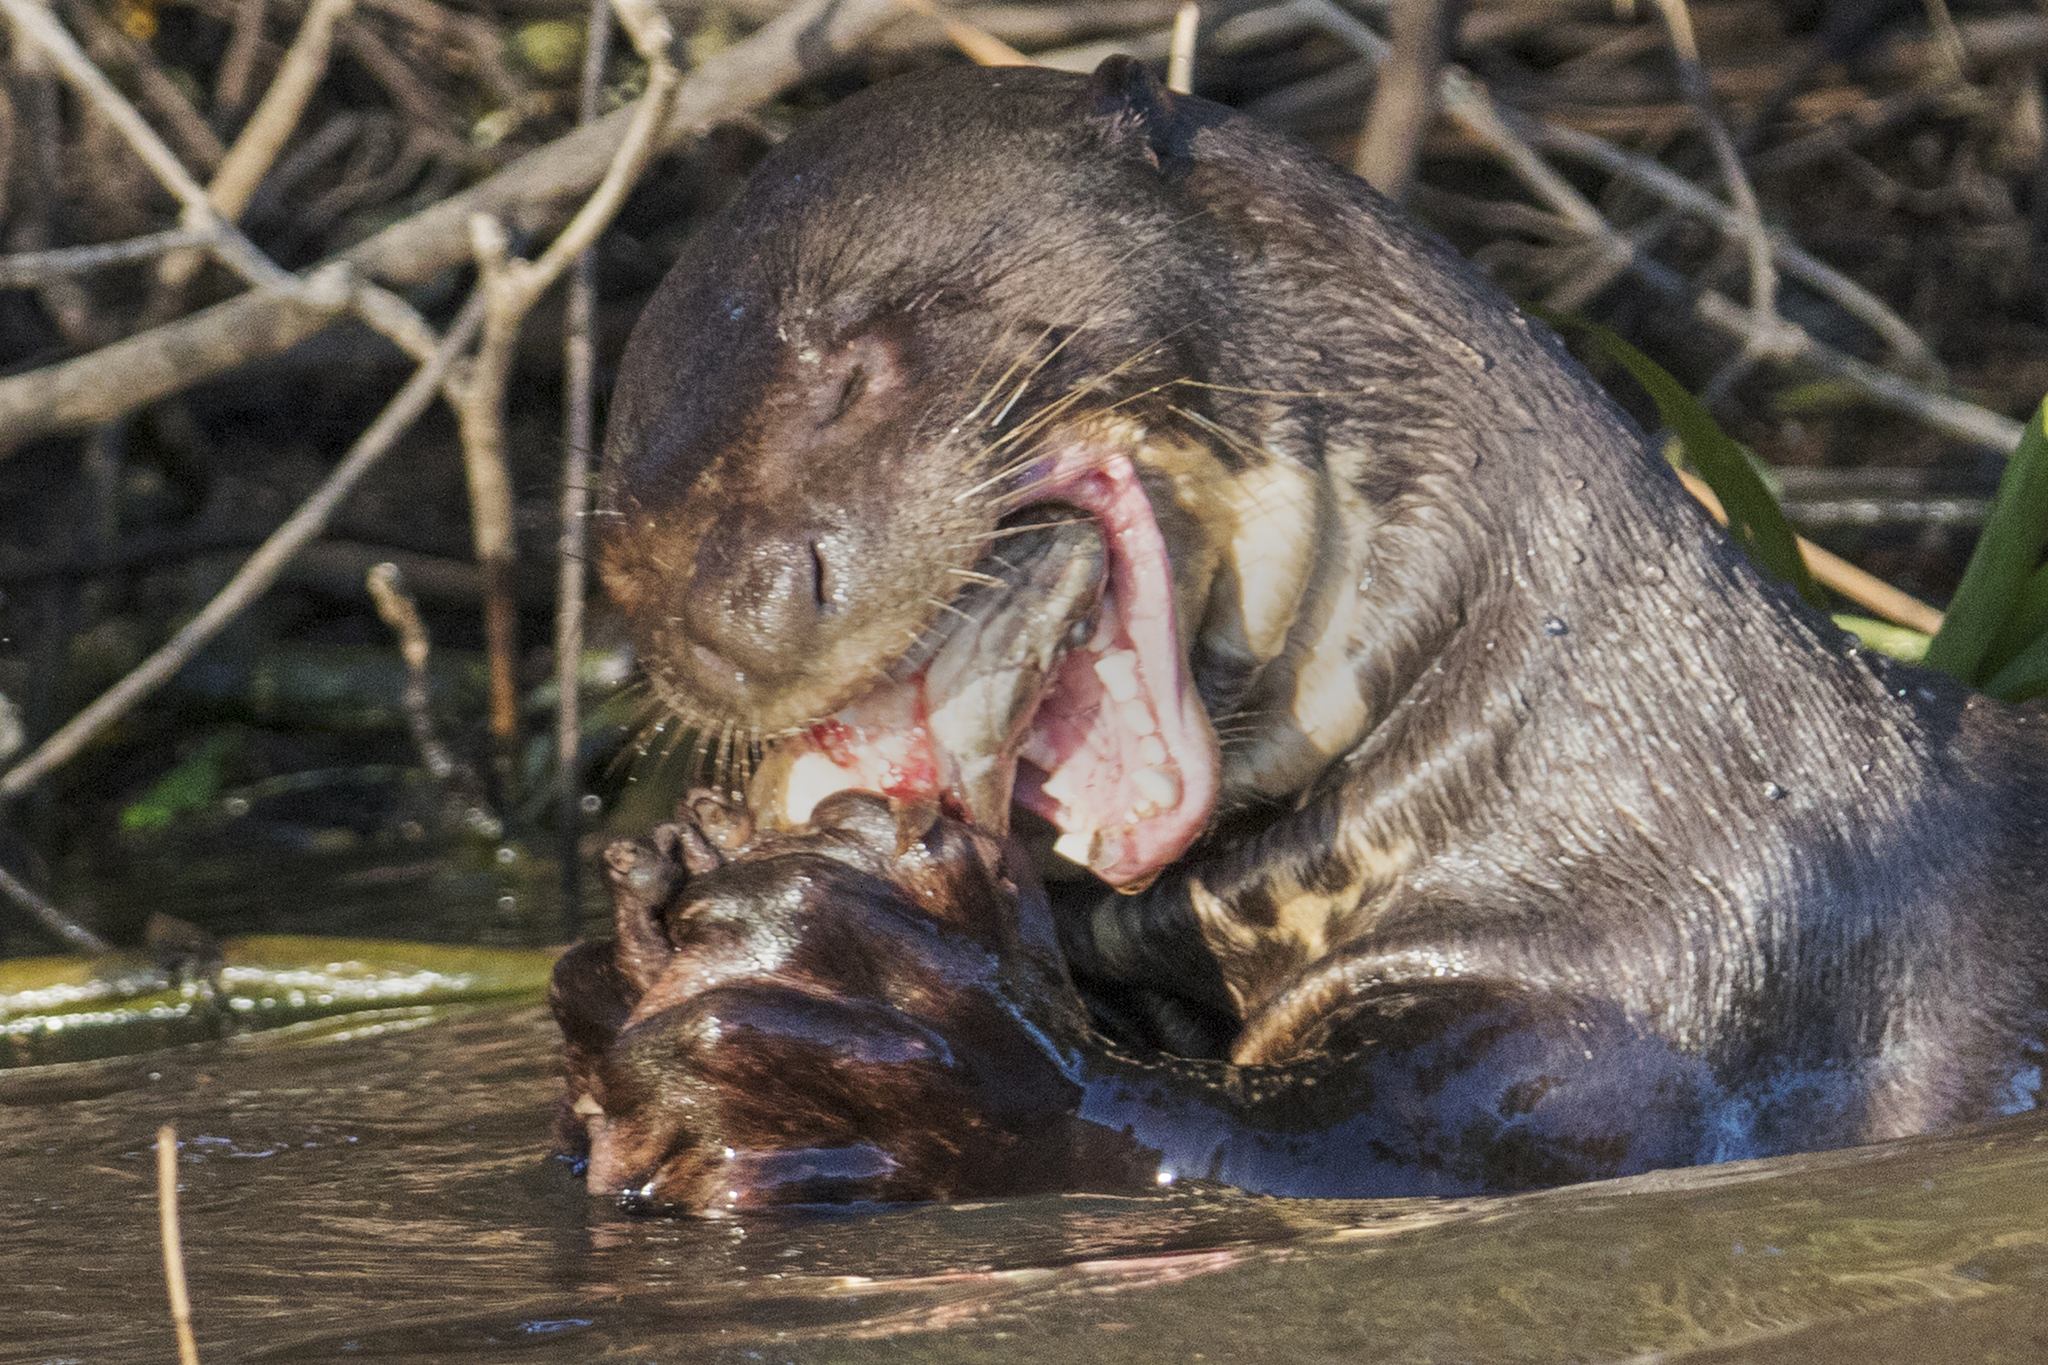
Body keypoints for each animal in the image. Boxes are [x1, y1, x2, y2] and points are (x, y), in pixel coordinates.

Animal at [559, 58, 2048, 1211]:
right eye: (621, 558)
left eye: (852, 370)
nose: (730, 612)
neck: (1595, 769)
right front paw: (620, 973)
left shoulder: (1633, 1016)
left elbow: (1271, 1141)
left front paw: (859, 1018)